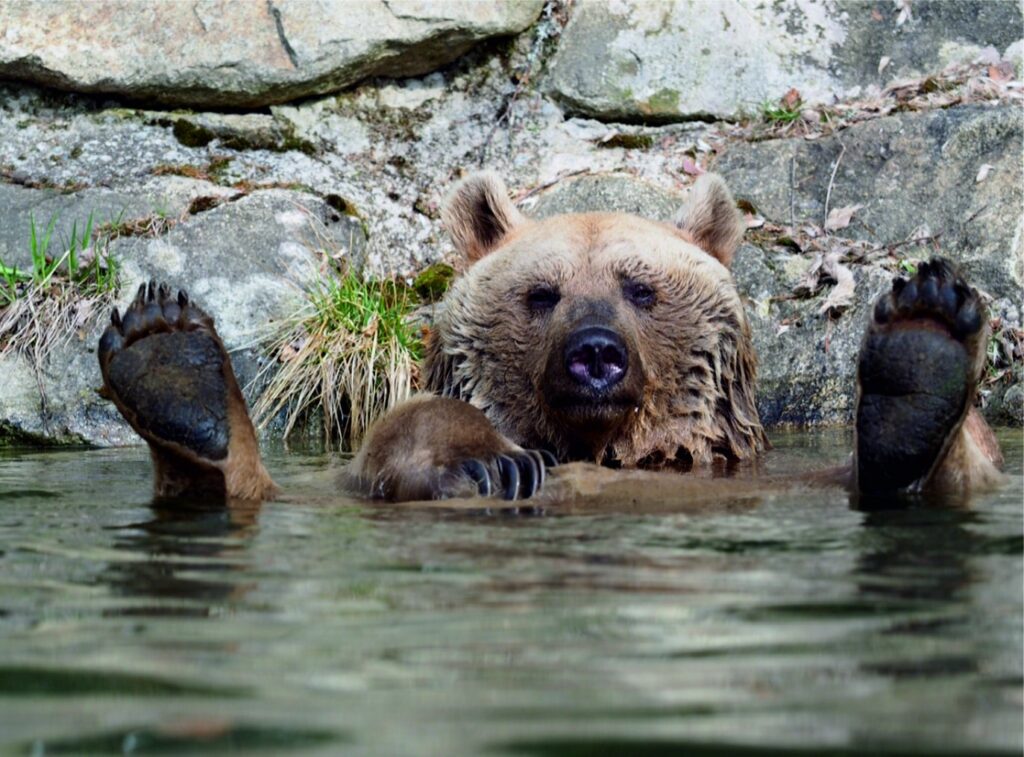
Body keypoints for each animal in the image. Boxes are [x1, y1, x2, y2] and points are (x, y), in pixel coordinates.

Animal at [99, 171, 1003, 503]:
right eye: (543, 293)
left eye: (641, 287)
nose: (594, 353)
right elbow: (407, 429)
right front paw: (488, 462)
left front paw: (924, 340)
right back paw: (169, 361)